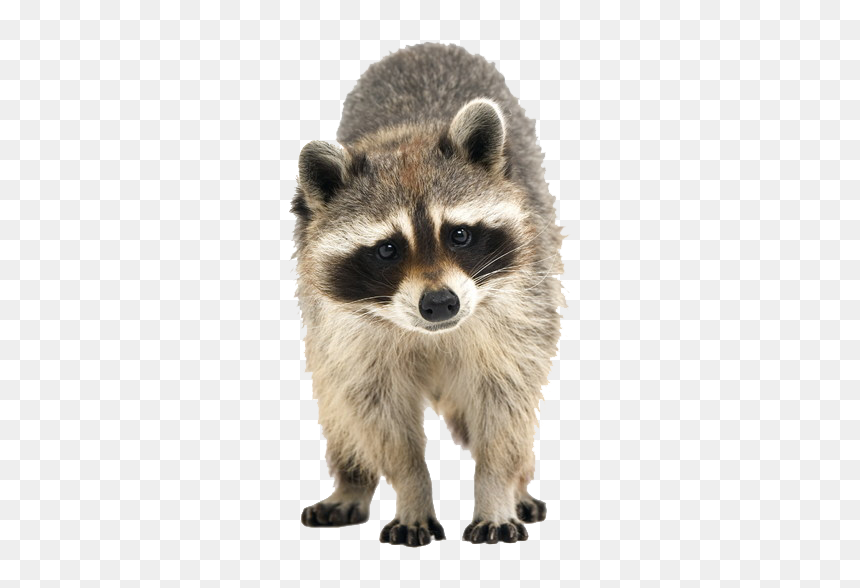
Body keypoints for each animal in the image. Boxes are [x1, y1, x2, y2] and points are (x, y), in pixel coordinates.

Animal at [293, 43, 563, 546]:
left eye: (459, 235)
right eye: (387, 249)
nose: (440, 304)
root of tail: (424, 47)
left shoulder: (520, 310)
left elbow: (505, 408)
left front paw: (496, 488)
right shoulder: (347, 333)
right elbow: (378, 415)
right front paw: (412, 490)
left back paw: (519, 484)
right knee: (337, 406)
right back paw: (351, 482)